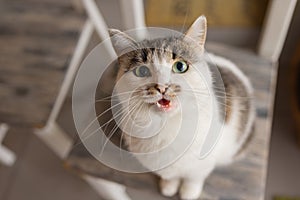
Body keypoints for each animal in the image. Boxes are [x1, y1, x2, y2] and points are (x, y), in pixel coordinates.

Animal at [108, 16, 255, 200]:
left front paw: (189, 192)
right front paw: (168, 186)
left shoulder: (202, 164)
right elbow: (170, 176)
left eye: (180, 66)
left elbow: (194, 178)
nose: (162, 86)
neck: (166, 128)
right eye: (142, 71)